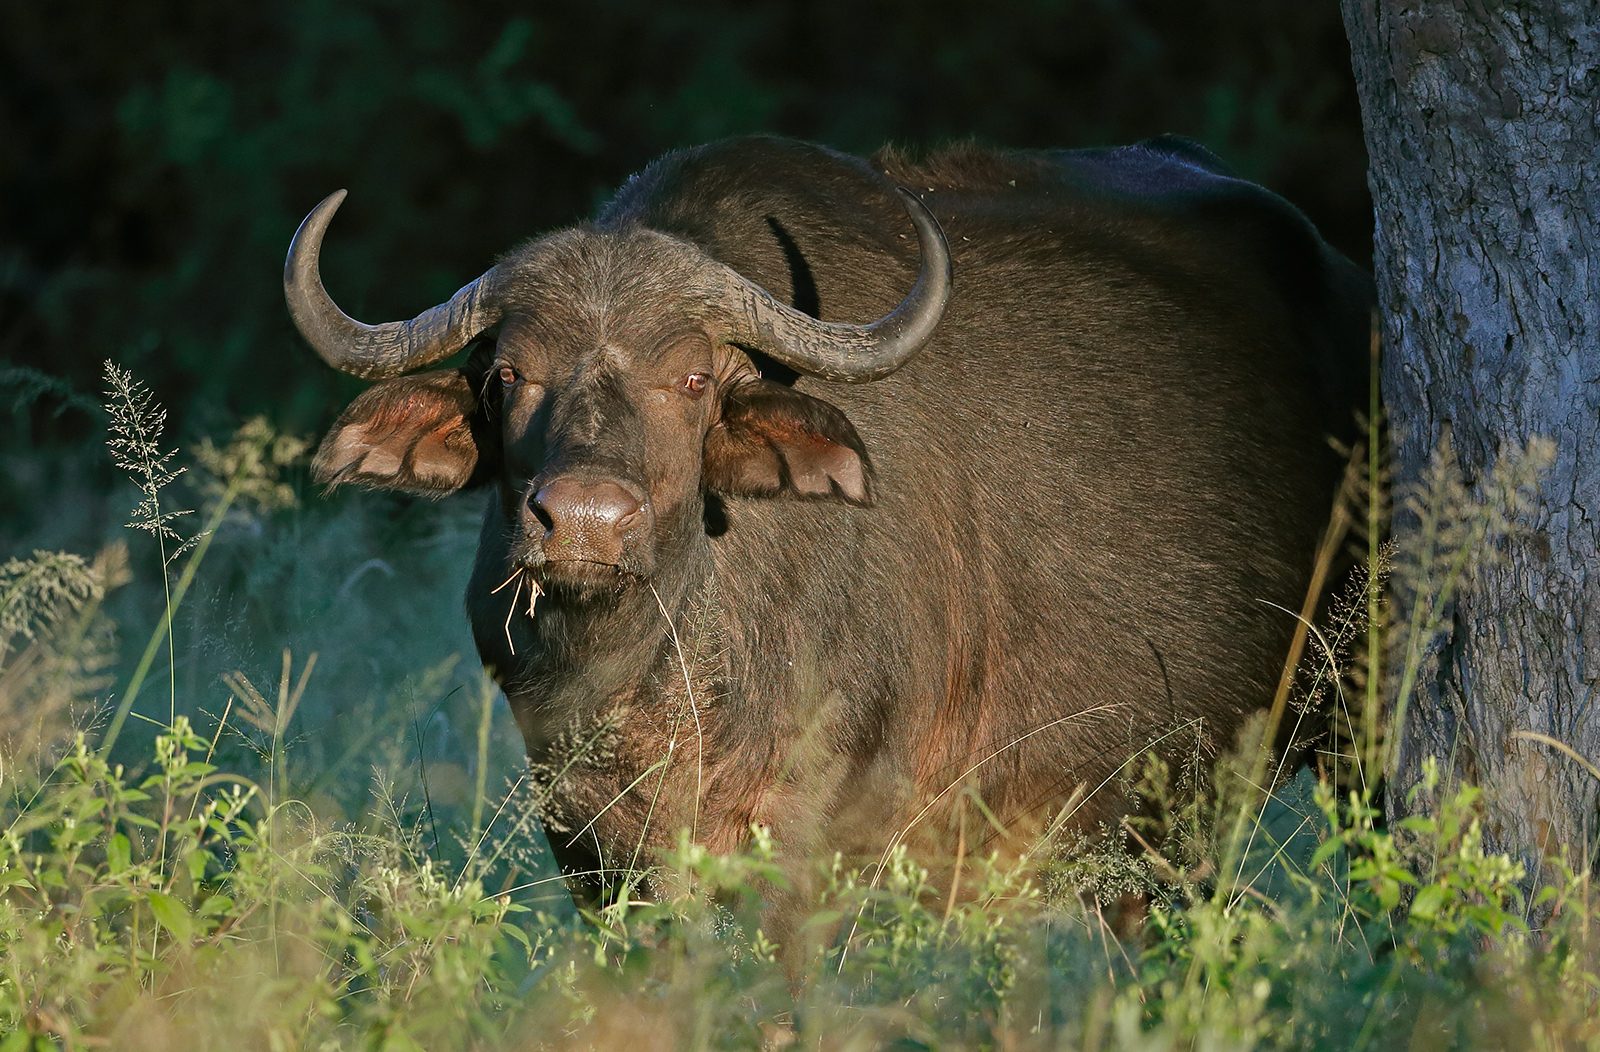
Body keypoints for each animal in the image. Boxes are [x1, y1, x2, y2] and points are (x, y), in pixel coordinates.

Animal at [286, 135, 1369, 916]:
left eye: (693, 379)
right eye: (509, 374)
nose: (585, 520)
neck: (664, 669)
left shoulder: (817, 828)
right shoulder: (587, 841)